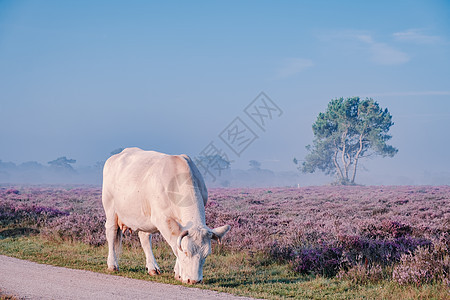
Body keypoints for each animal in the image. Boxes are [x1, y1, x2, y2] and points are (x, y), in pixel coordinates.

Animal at [101, 148, 229, 284]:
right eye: (186, 252)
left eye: (206, 255)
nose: (194, 281)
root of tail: (117, 155)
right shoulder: (162, 219)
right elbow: (175, 245)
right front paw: (179, 273)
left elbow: (177, 241)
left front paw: (178, 272)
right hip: (111, 209)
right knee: (111, 232)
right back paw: (112, 265)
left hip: (144, 216)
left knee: (144, 238)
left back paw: (152, 268)